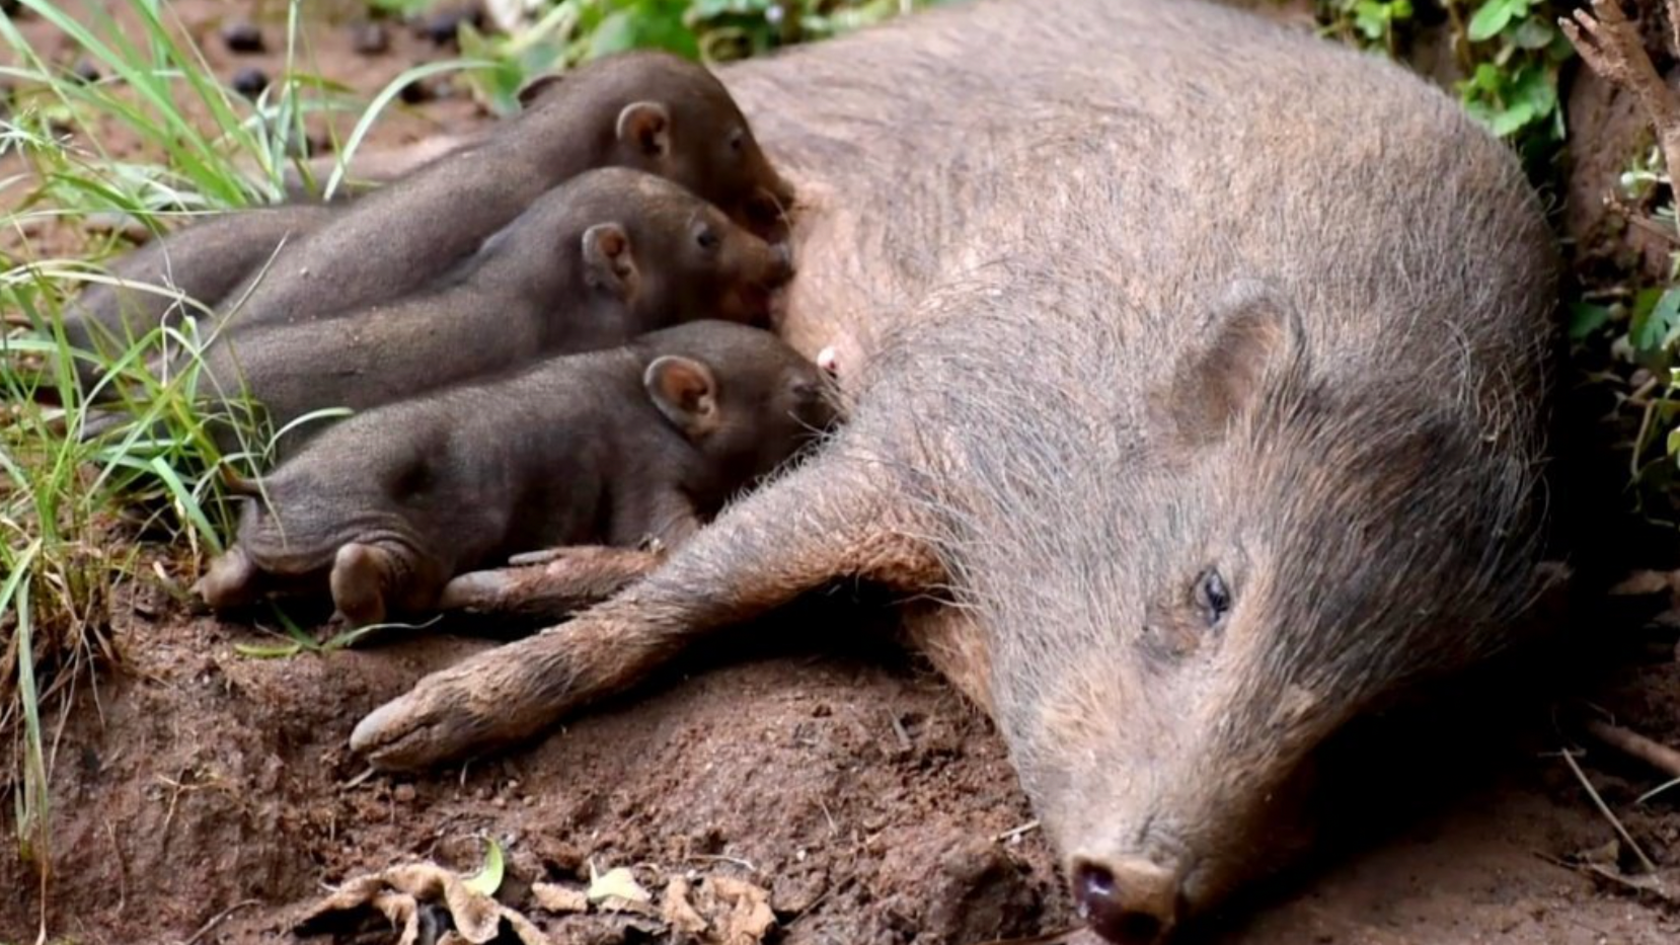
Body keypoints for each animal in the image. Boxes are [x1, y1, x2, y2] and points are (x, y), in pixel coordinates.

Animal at [344, 3, 1559, 934]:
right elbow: (693, 588)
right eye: (1214, 591)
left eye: (1370, 735)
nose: (1138, 889)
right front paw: (397, 737)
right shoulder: (930, 420)